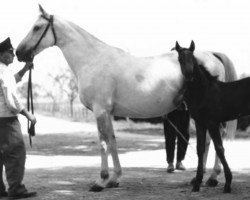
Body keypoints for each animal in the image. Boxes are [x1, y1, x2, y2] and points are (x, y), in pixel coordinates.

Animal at [16, 5, 236, 191]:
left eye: (37, 27)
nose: (19, 53)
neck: (93, 60)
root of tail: (213, 55)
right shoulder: (108, 112)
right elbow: (112, 141)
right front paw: (114, 179)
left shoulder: (100, 111)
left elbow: (103, 143)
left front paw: (101, 181)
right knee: (209, 140)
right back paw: (203, 178)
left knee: (215, 138)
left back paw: (213, 178)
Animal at [175, 41, 250, 194]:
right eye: (180, 59)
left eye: (193, 58)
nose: (189, 75)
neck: (204, 91)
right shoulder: (200, 123)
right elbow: (200, 148)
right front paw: (197, 183)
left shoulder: (212, 122)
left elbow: (219, 148)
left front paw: (227, 184)